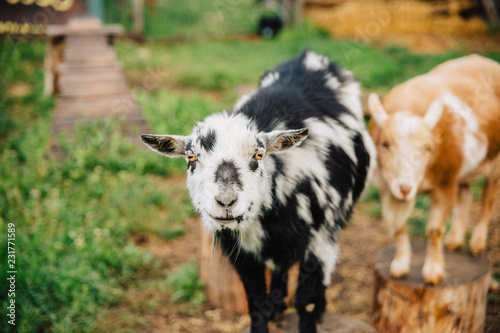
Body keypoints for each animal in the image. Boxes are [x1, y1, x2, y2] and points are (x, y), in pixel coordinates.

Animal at [141, 50, 376, 330]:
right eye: (191, 157)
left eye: (258, 154)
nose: (226, 202)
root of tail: (309, 55)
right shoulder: (242, 253)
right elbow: (255, 300)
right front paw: (268, 313)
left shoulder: (321, 242)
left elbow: (305, 302)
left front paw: (312, 314)